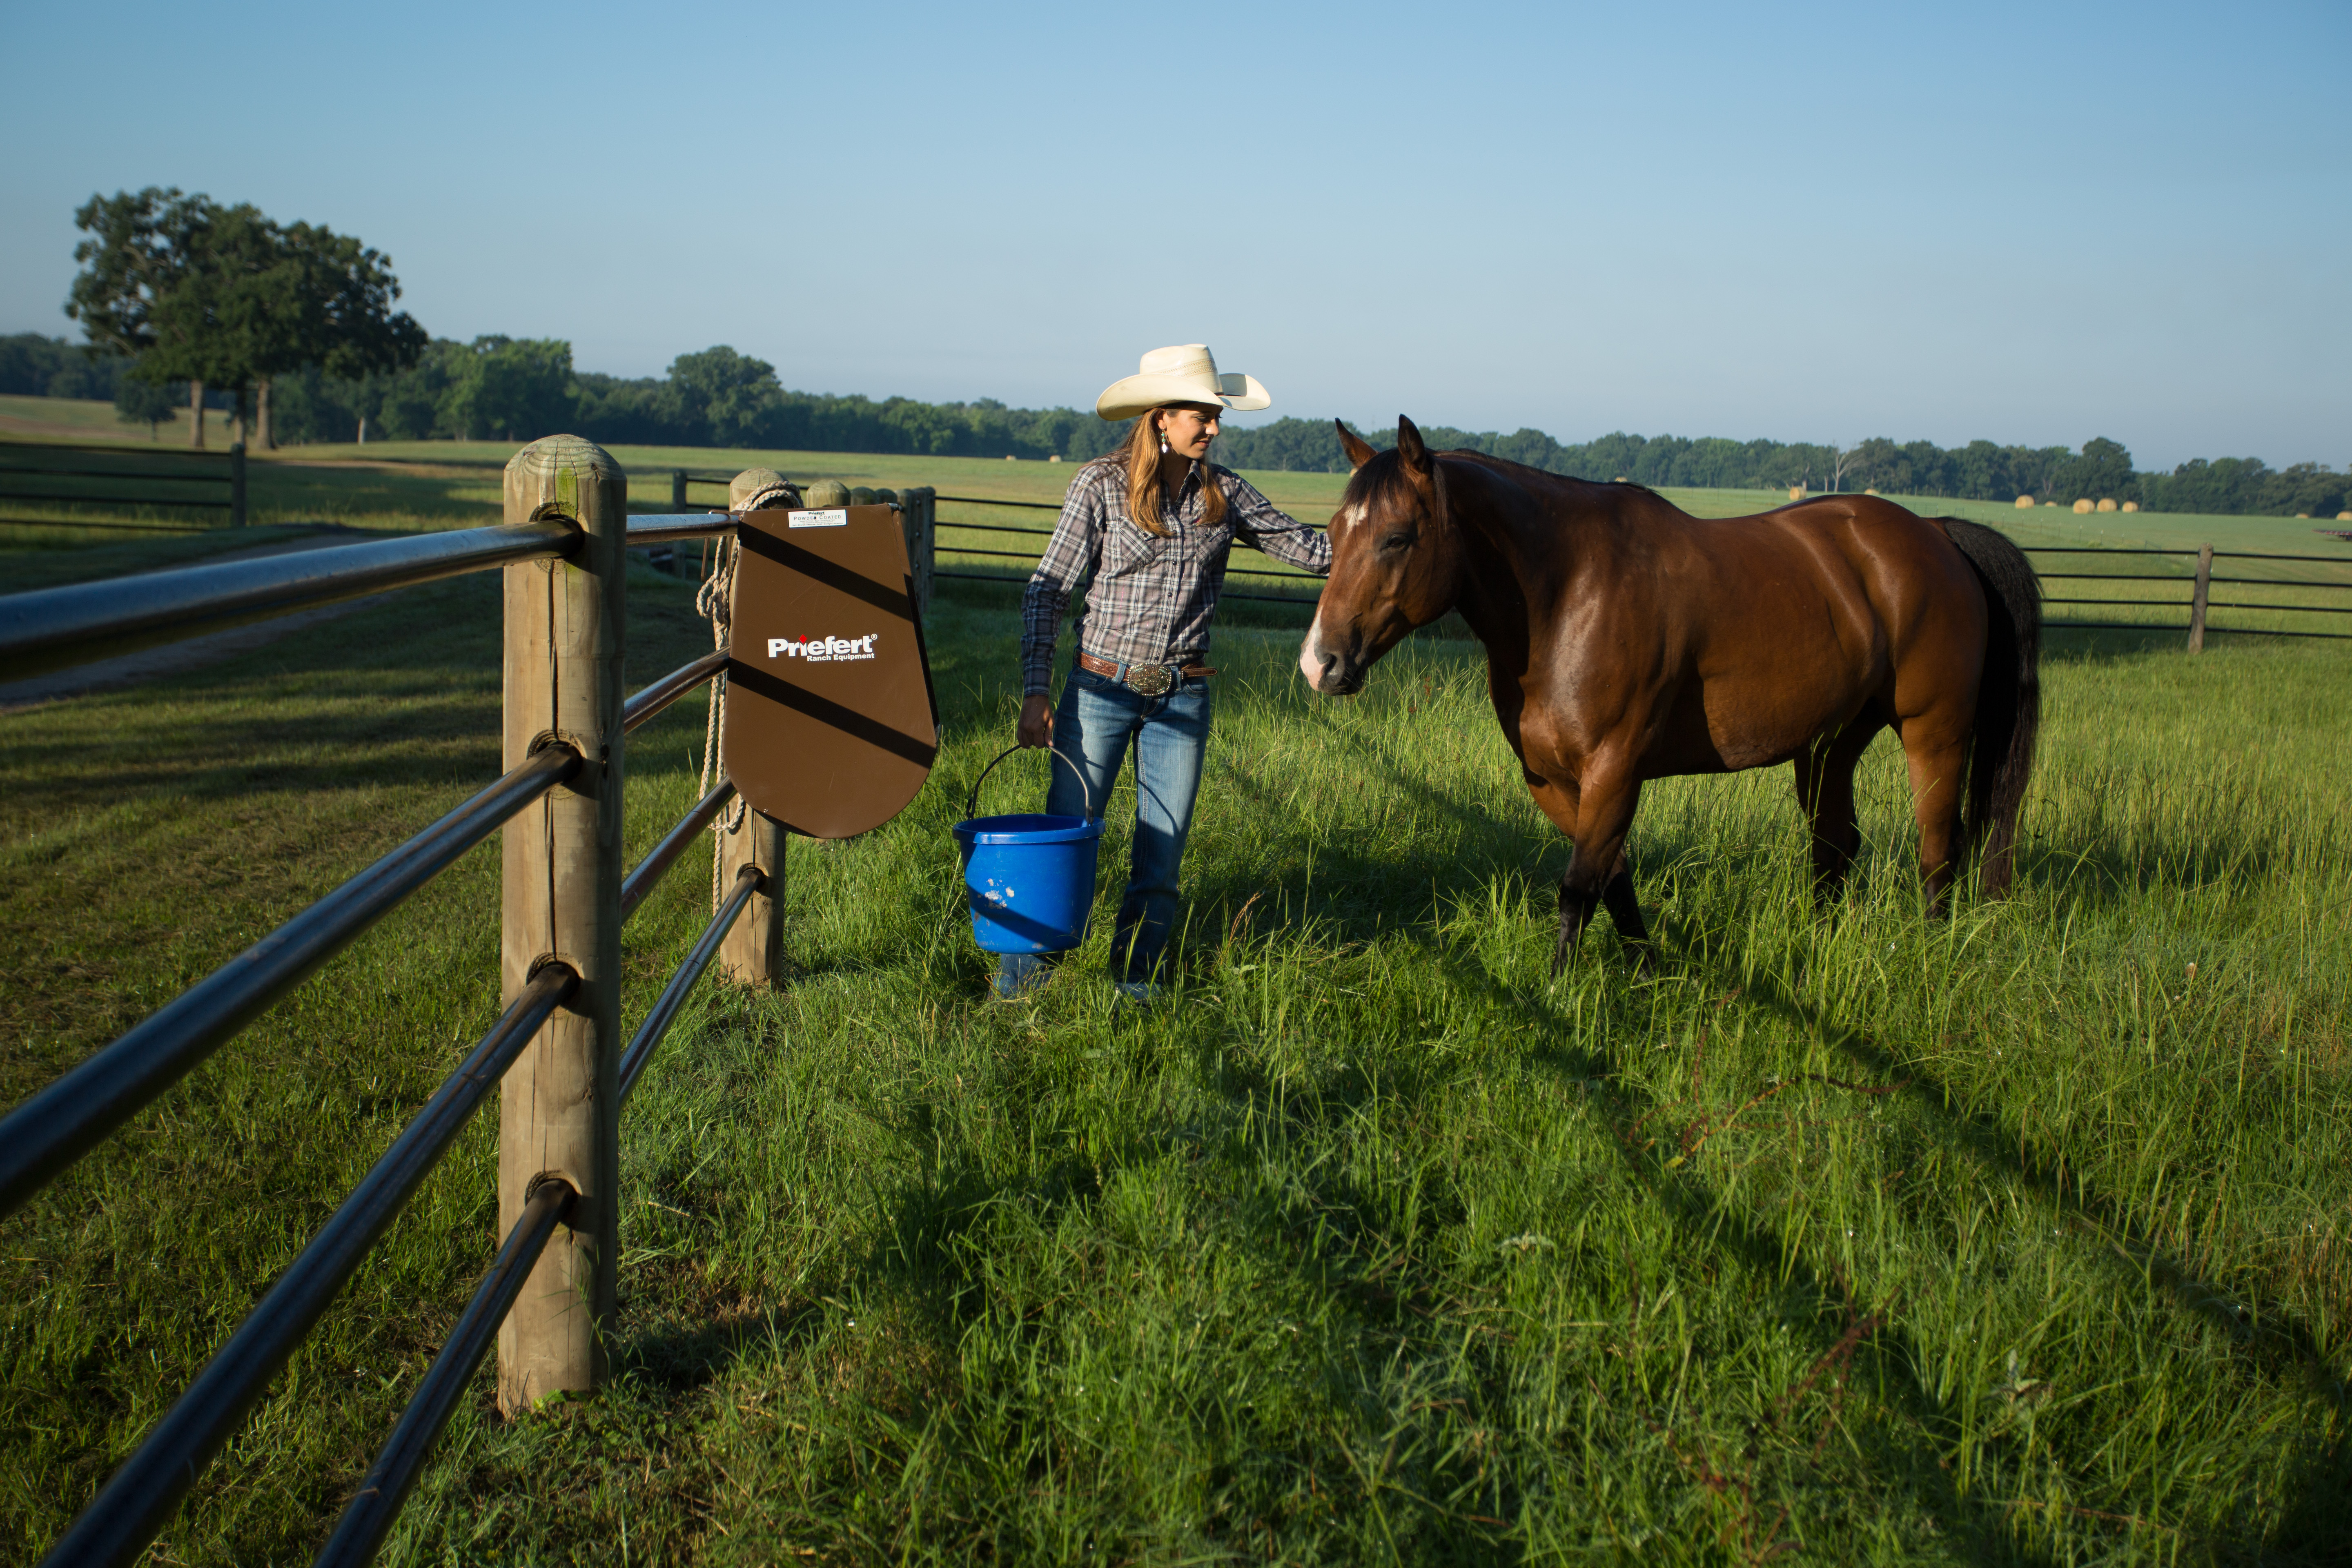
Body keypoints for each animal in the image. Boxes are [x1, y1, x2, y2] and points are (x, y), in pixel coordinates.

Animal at [1297, 417, 2041, 973]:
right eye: (1331, 534)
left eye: (1397, 538)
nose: (1319, 663)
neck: (1568, 593)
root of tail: (1938, 534)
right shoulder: (1555, 780)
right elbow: (1612, 877)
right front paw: (1647, 970)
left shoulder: (1614, 770)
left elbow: (1578, 886)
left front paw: (1561, 992)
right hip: (1830, 746)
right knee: (1837, 844)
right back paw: (1819, 946)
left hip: (1933, 733)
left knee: (1938, 847)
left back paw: (1931, 949)